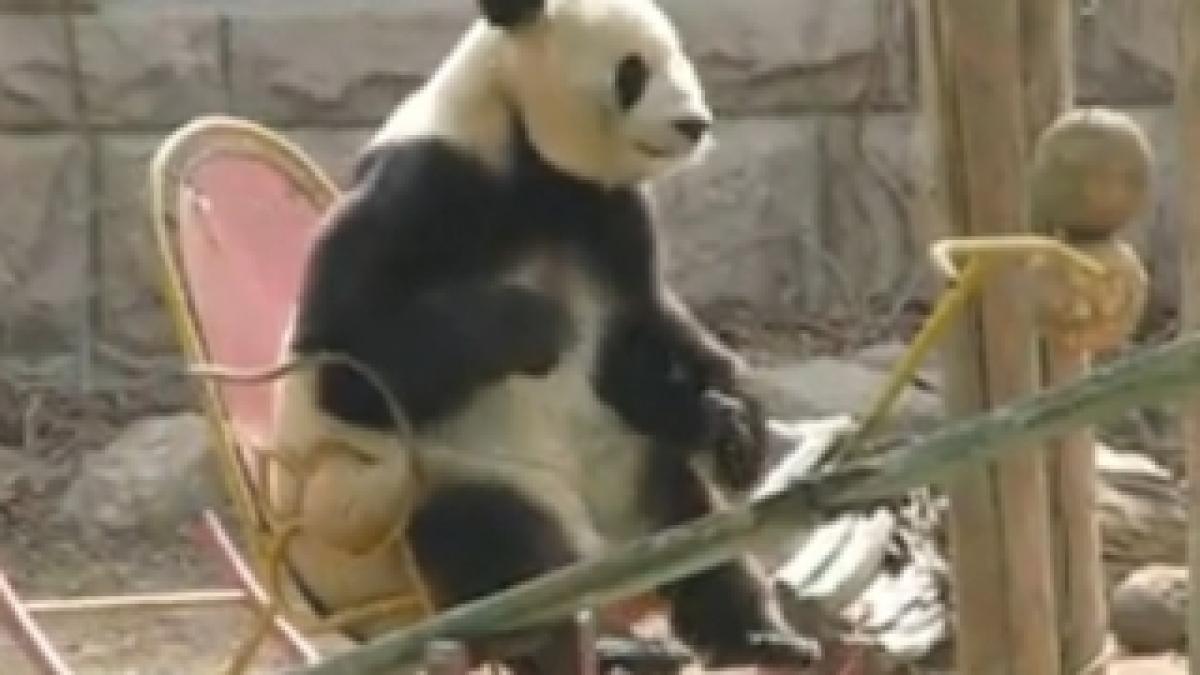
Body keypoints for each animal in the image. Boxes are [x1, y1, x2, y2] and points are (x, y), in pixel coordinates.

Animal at [262, 0, 821, 671]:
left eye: (679, 56)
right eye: (632, 71)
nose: (694, 124)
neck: (532, 154)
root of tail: (600, 547)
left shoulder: (607, 210)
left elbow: (644, 324)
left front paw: (737, 431)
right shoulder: (432, 182)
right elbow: (344, 358)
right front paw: (537, 327)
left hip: (623, 467)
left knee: (691, 522)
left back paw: (755, 634)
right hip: (410, 503)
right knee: (493, 540)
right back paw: (546, 638)